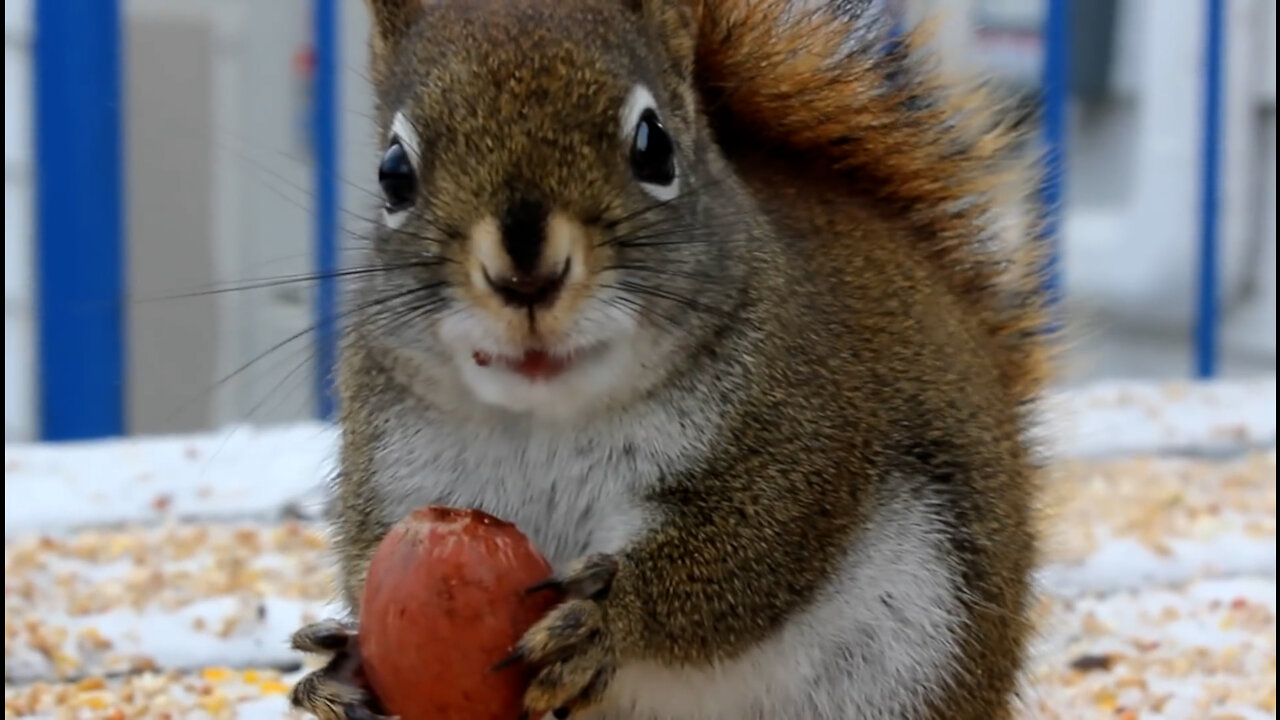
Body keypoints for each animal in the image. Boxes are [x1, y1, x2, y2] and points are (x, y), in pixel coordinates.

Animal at [288, 0, 1049, 712]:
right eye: (393, 173)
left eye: (654, 146)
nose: (527, 274)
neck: (546, 417)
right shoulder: (394, 468)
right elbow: (363, 558)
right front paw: (342, 666)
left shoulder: (802, 430)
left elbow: (748, 556)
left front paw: (607, 620)